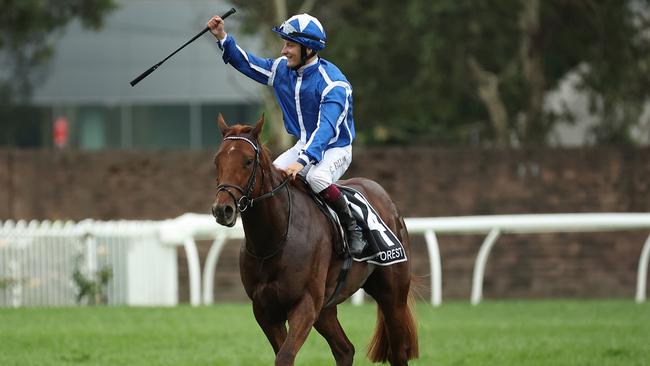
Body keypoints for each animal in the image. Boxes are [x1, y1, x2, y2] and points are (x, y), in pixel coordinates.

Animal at [210, 113, 418, 364]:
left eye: (248, 161)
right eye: (217, 160)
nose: (223, 209)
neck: (275, 239)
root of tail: (384, 196)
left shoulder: (305, 304)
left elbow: (285, 356)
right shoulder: (264, 309)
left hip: (393, 295)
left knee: (397, 352)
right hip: (326, 308)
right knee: (345, 349)